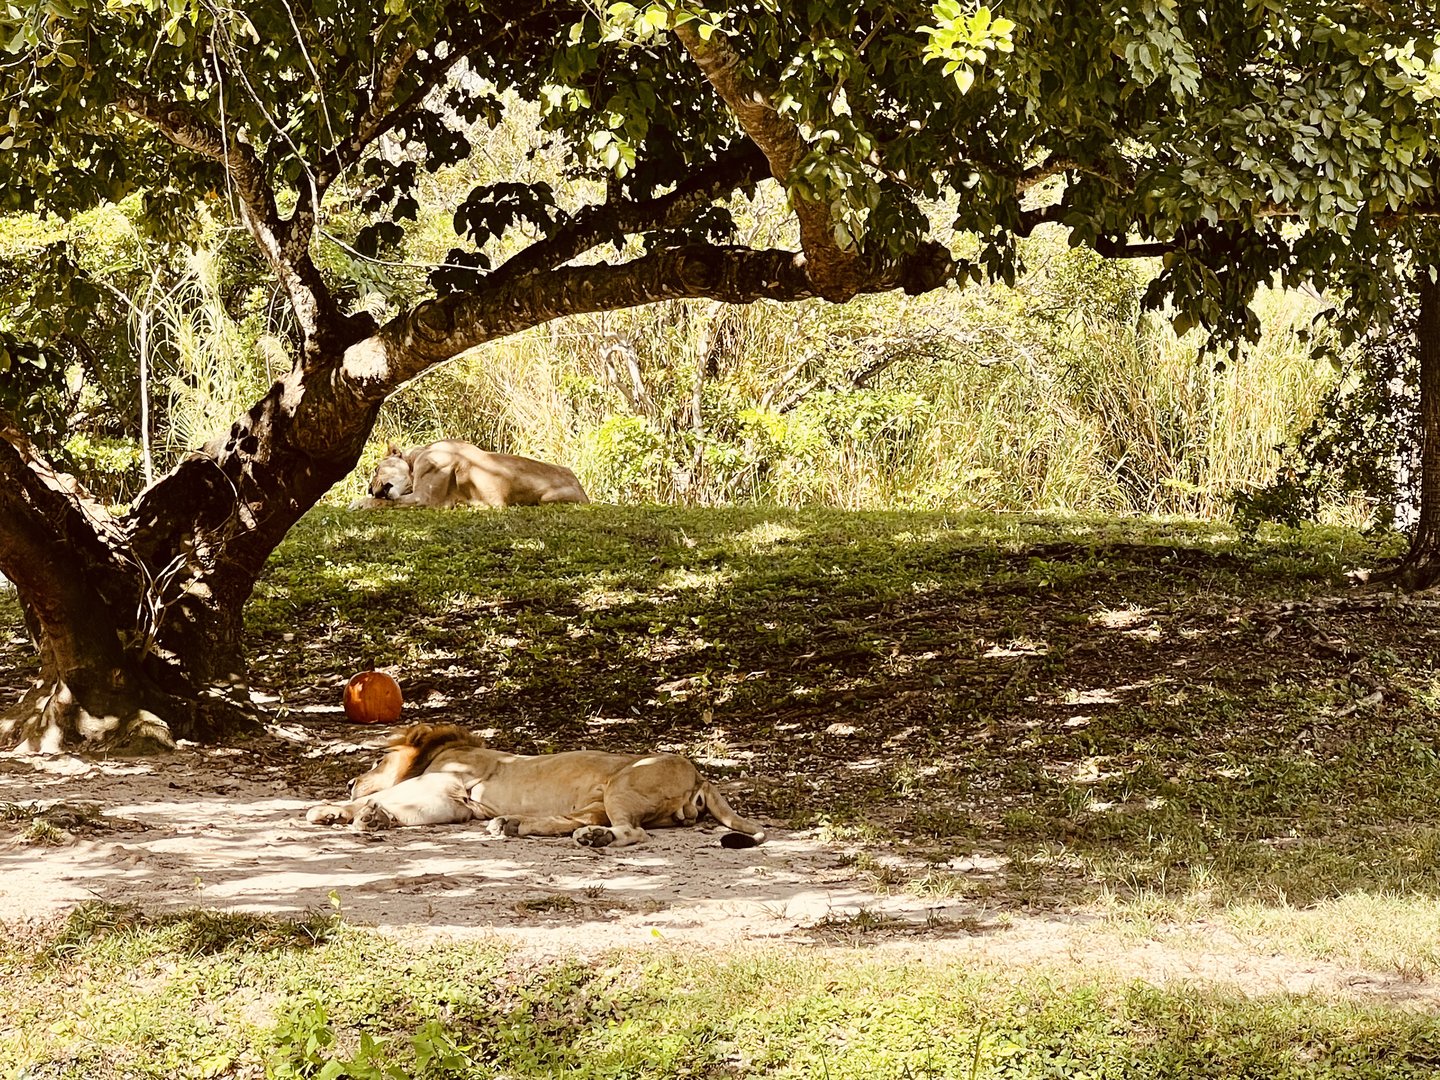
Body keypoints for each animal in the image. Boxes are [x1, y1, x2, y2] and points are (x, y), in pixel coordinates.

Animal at [306, 723, 767, 849]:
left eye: (377, 759)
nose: (351, 781)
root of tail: (700, 774)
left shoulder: (446, 783)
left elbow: (386, 793)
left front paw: (340, 809)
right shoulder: (455, 803)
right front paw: (370, 816)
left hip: (621, 784)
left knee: (633, 833)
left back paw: (594, 839)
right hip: (598, 798)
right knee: (570, 821)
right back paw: (511, 825)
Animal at [348, 440, 589, 509]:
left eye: (376, 470)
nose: (370, 488)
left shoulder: (424, 498)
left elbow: (384, 502)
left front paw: (360, 502)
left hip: (548, 499)